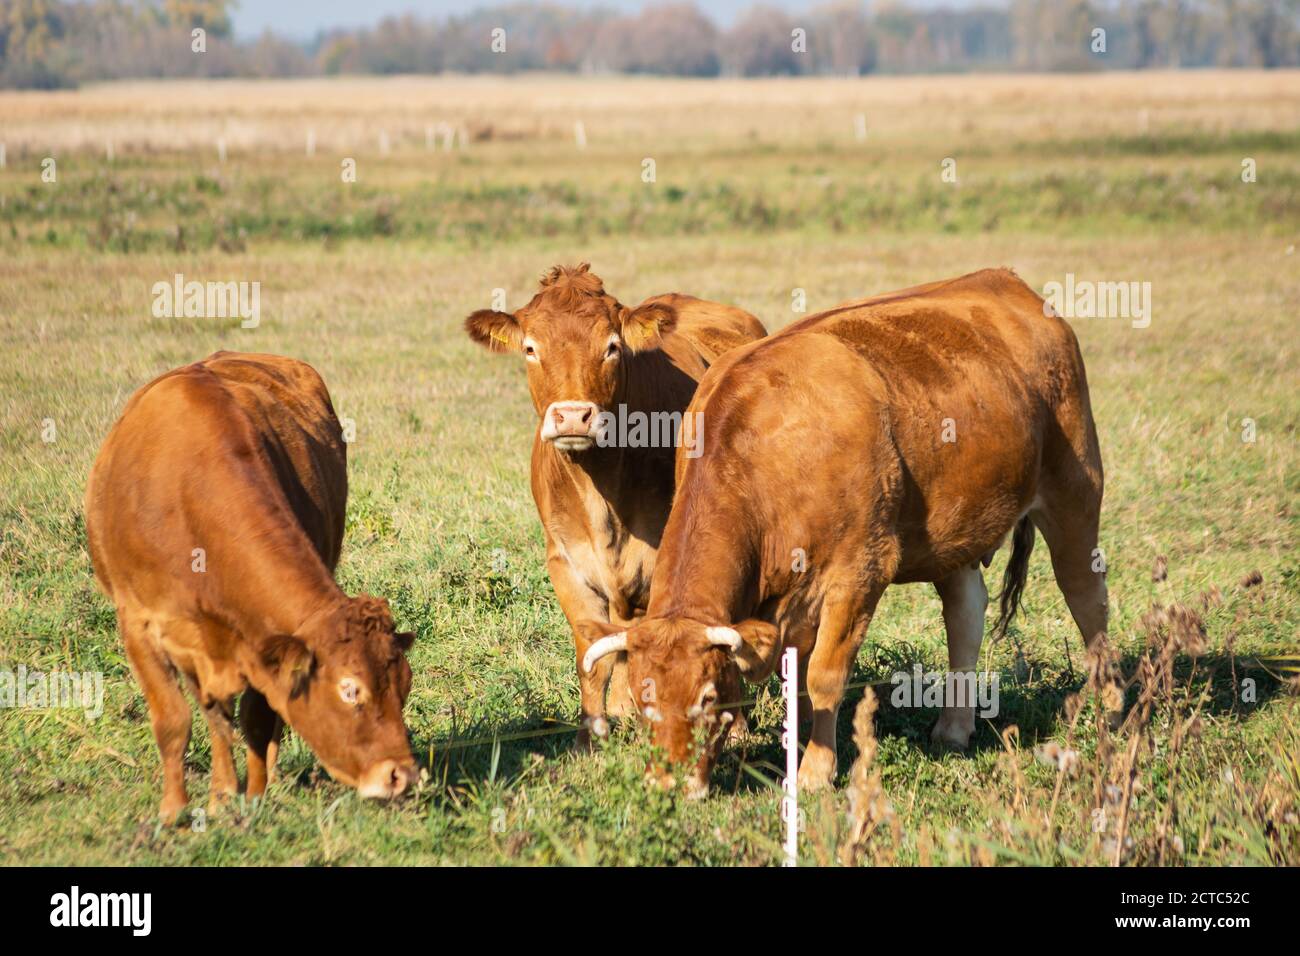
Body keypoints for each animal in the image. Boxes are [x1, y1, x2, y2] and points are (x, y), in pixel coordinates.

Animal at [83, 351, 418, 822]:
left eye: (404, 685)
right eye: (350, 689)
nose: (401, 776)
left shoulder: (263, 642)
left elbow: (257, 719)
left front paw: (256, 799)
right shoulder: (139, 625)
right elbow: (174, 721)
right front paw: (176, 811)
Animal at [465, 264, 759, 749]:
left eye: (611, 347)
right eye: (530, 348)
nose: (572, 416)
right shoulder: (566, 564)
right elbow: (594, 654)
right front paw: (591, 737)